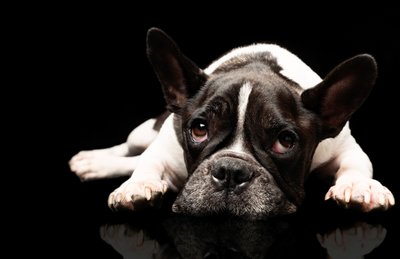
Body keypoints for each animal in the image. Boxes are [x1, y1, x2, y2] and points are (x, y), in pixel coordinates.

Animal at [69, 27, 394, 219]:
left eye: (285, 141)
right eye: (199, 129)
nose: (230, 171)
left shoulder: (343, 145)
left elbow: (357, 163)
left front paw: (360, 186)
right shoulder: (166, 145)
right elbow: (148, 162)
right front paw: (138, 186)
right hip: (143, 131)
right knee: (131, 149)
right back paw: (93, 161)